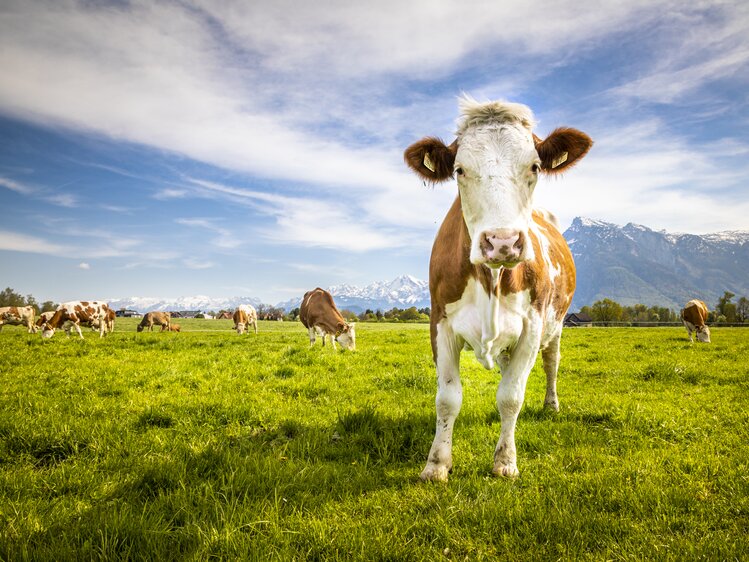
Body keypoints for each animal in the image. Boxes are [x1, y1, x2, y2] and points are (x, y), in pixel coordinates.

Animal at [404, 95, 592, 476]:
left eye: (534, 167)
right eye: (460, 170)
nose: (502, 242)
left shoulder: (532, 327)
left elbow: (511, 397)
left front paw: (505, 461)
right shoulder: (440, 322)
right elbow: (447, 399)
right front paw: (437, 464)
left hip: (556, 325)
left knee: (552, 363)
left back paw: (551, 405)